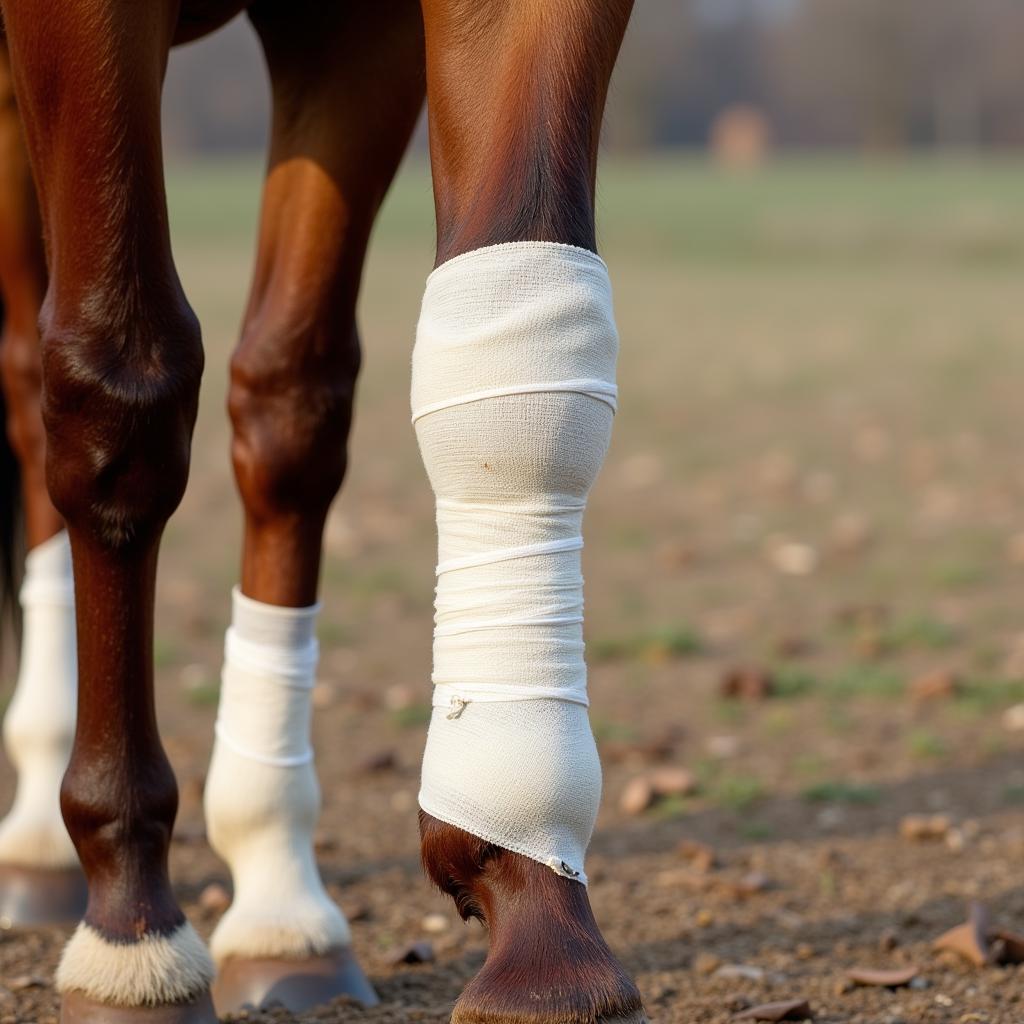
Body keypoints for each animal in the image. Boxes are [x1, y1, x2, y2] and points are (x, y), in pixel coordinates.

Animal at [0, 2, 638, 1024]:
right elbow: (120, 389)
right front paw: (134, 936)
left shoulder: (360, 36)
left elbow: (313, 400)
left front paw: (537, 931)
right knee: (35, 391)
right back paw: (44, 835)